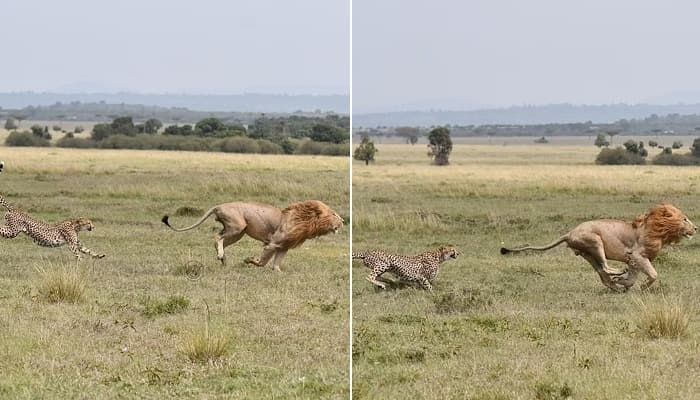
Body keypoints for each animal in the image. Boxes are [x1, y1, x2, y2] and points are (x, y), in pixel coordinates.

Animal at [161, 200, 342, 272]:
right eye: (334, 214)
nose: (343, 221)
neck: (306, 221)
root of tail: (218, 206)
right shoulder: (273, 243)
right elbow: (262, 262)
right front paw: (249, 260)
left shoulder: (283, 247)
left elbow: (276, 265)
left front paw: (278, 272)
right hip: (238, 226)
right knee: (217, 238)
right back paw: (221, 256)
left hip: (238, 232)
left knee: (219, 238)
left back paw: (223, 259)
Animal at [504, 205, 696, 290]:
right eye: (685, 219)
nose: (695, 228)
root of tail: (569, 233)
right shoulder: (637, 255)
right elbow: (653, 274)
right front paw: (640, 285)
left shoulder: (635, 260)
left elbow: (633, 277)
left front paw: (625, 284)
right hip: (595, 241)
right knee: (605, 266)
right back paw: (618, 274)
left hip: (587, 254)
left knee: (601, 272)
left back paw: (615, 284)